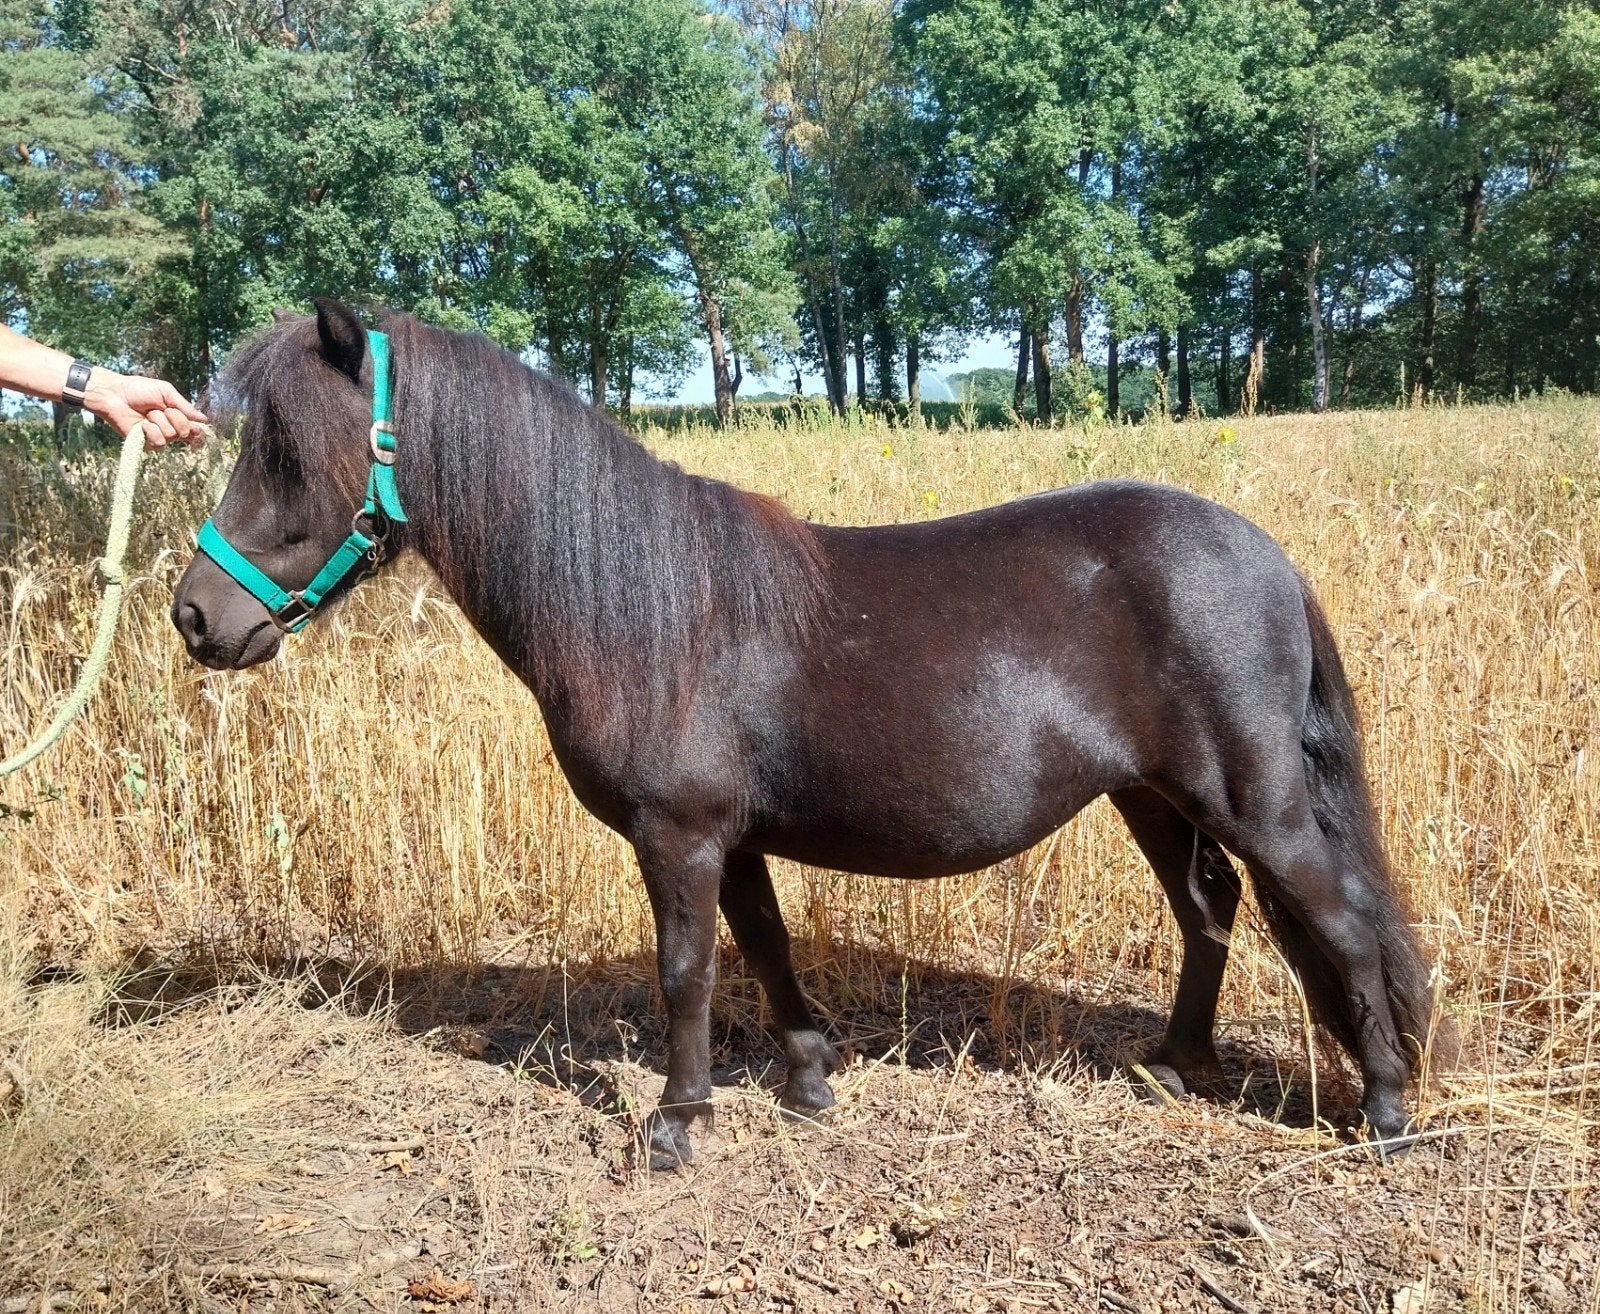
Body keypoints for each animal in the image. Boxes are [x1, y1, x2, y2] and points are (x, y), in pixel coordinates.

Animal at [172, 299, 1442, 1170]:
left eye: (287, 454)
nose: (194, 617)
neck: (653, 610)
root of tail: (1266, 556)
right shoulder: (731, 838)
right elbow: (766, 946)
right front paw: (807, 1081)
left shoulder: (677, 836)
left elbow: (686, 972)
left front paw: (674, 1124)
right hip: (1150, 794)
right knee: (1208, 907)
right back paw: (1180, 1065)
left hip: (1255, 797)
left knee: (1338, 921)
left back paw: (1384, 1106)